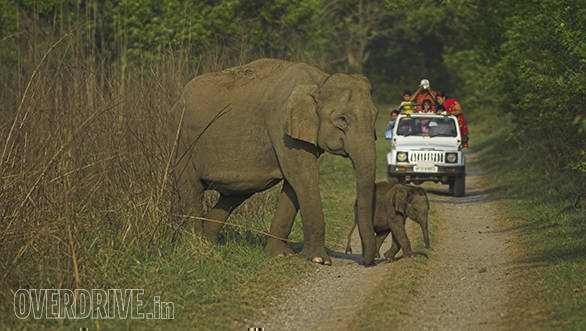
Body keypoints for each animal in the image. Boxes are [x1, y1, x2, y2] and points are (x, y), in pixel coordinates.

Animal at [171, 59, 376, 268]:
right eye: (341, 119)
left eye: (375, 117)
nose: (366, 261)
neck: (319, 82)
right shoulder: (281, 128)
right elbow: (303, 176)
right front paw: (320, 260)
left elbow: (294, 184)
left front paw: (280, 255)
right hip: (182, 142)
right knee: (192, 190)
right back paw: (196, 244)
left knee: (233, 196)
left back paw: (207, 241)